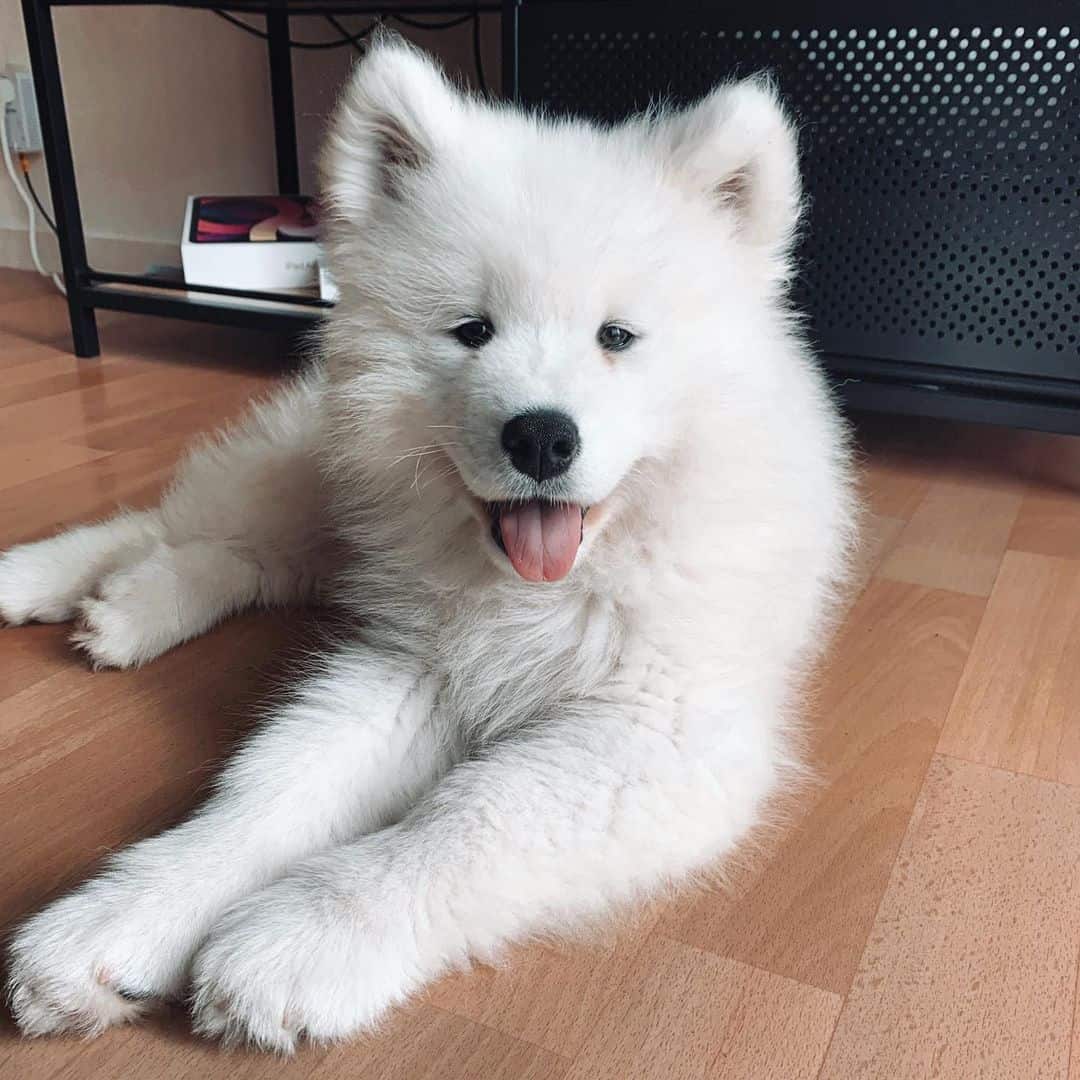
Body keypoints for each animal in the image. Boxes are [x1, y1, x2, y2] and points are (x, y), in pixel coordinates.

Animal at [4, 35, 855, 1054]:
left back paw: (125, 611)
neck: (543, 586)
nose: (541, 438)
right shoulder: (416, 667)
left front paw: (302, 938)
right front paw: (125, 913)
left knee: (241, 558)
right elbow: (268, 794)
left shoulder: (657, 728)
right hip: (309, 466)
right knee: (178, 525)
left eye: (617, 336)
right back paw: (48, 579)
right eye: (471, 331)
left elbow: (468, 818)